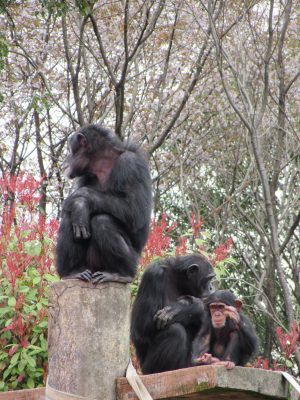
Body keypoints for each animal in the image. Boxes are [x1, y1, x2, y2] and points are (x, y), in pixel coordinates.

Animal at [55, 123, 152, 282]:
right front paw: (78, 206)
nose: (66, 158)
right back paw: (71, 272)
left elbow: (135, 210)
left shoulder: (131, 164)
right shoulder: (85, 177)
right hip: (89, 266)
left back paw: (120, 274)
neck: (102, 165)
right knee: (70, 218)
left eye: (70, 149)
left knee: (103, 221)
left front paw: (81, 199)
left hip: (133, 263)